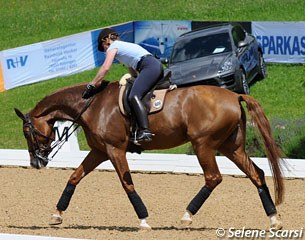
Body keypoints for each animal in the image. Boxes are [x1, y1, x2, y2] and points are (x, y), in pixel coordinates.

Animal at [14, 81, 284, 231]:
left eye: (27, 132)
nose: (35, 162)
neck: (93, 106)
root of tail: (234, 95)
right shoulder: (99, 151)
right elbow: (74, 177)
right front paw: (57, 214)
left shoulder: (114, 150)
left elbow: (127, 184)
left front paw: (143, 220)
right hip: (230, 147)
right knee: (256, 174)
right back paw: (273, 219)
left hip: (203, 145)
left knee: (213, 178)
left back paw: (187, 216)